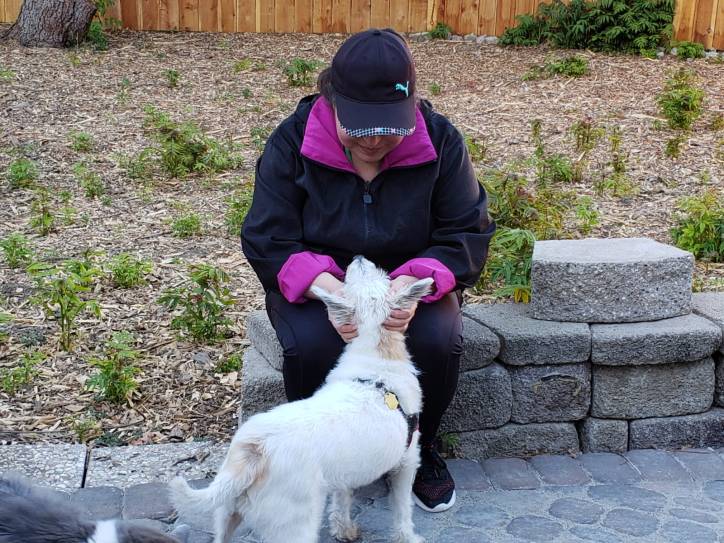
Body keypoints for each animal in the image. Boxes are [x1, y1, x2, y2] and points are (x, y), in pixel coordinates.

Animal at [170, 256, 432, 543]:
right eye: (381, 277)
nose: (359, 258)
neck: (376, 358)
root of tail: (254, 451)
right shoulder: (407, 461)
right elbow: (402, 508)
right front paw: (408, 536)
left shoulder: (345, 475)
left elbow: (342, 502)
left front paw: (344, 529)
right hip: (295, 524)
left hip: (227, 512)